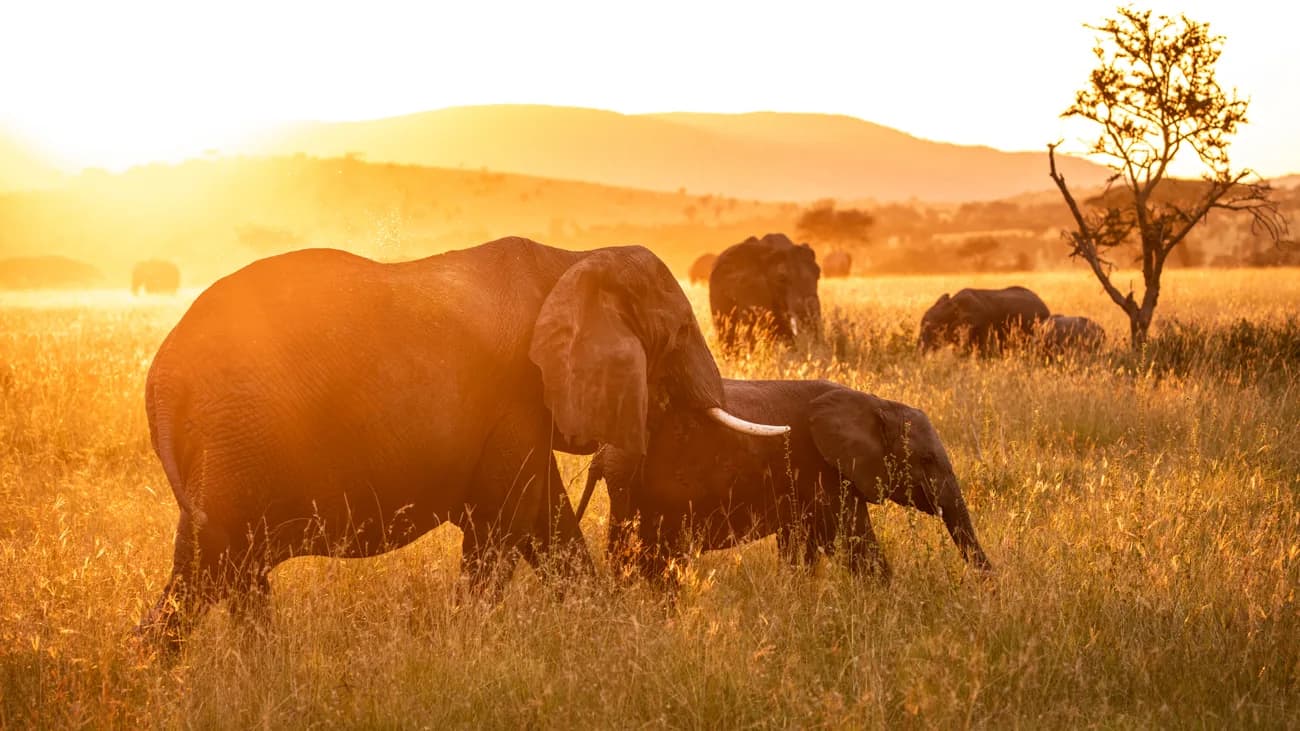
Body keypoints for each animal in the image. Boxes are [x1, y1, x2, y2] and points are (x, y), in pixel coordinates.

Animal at [137, 237, 789, 650]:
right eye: (678, 332)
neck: (573, 261)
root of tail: (160, 377)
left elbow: (544, 522)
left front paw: (604, 633)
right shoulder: (515, 392)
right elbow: (507, 521)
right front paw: (469, 644)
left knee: (211, 573)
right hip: (236, 443)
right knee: (214, 570)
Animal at [577, 379, 992, 589]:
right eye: (927, 460)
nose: (989, 588)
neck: (875, 402)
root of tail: (603, 452)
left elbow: (800, 547)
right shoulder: (821, 469)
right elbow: (852, 540)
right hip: (634, 488)